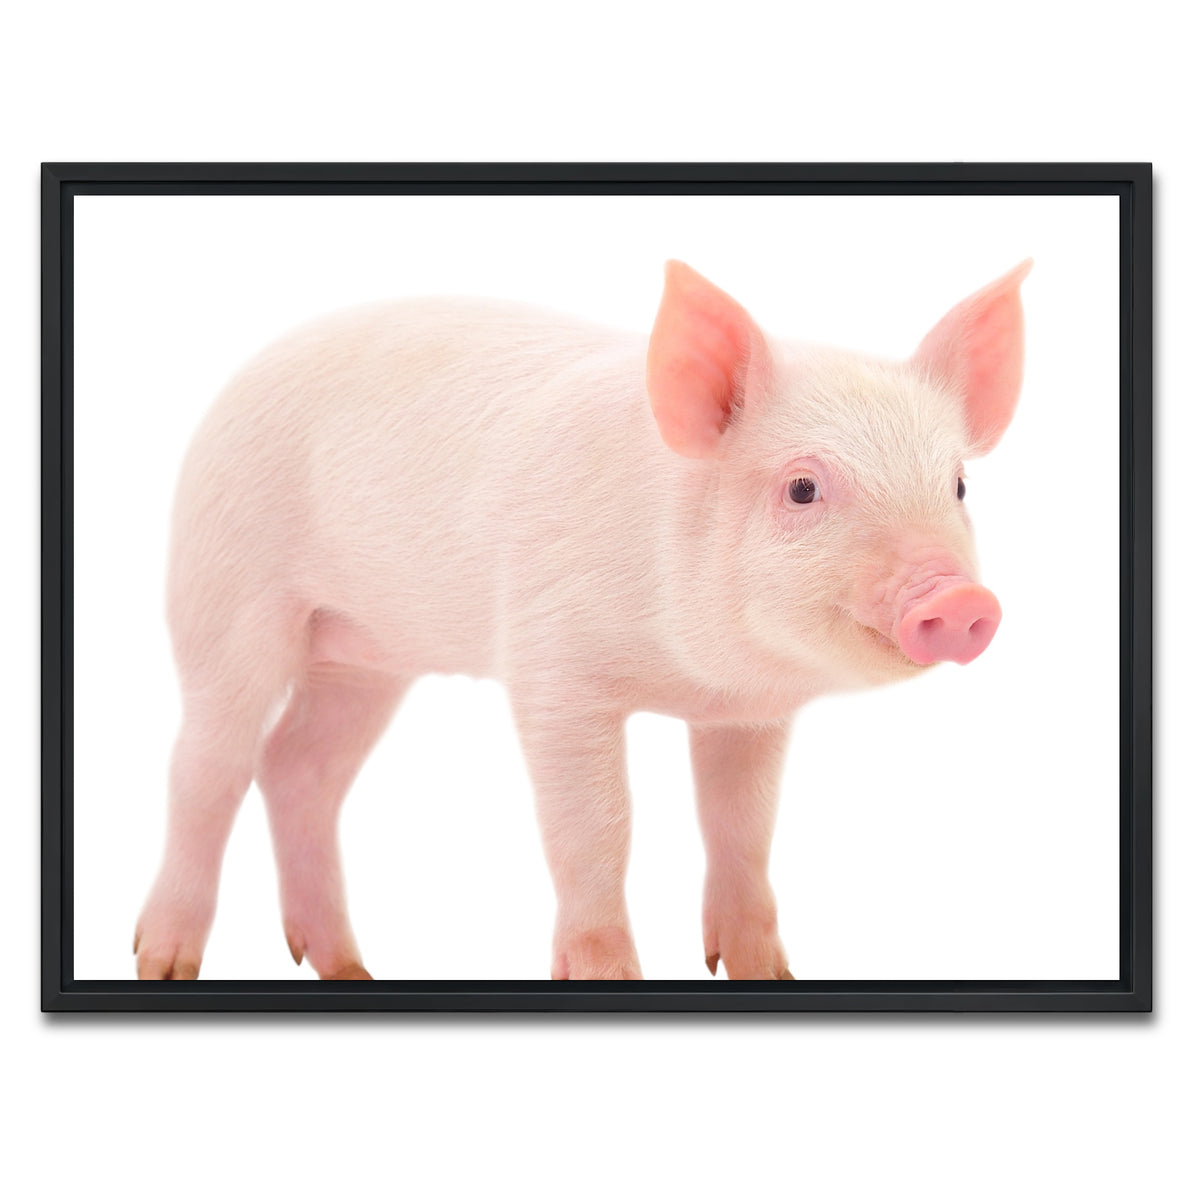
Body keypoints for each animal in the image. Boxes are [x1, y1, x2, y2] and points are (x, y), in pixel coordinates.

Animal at [134, 258, 1032, 982]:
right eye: (803, 488)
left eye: (957, 485)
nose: (960, 600)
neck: (693, 677)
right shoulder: (552, 670)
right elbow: (598, 827)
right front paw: (606, 975)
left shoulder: (750, 714)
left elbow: (742, 827)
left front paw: (764, 973)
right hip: (227, 591)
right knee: (208, 767)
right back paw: (162, 961)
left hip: (365, 657)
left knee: (299, 769)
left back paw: (351, 969)